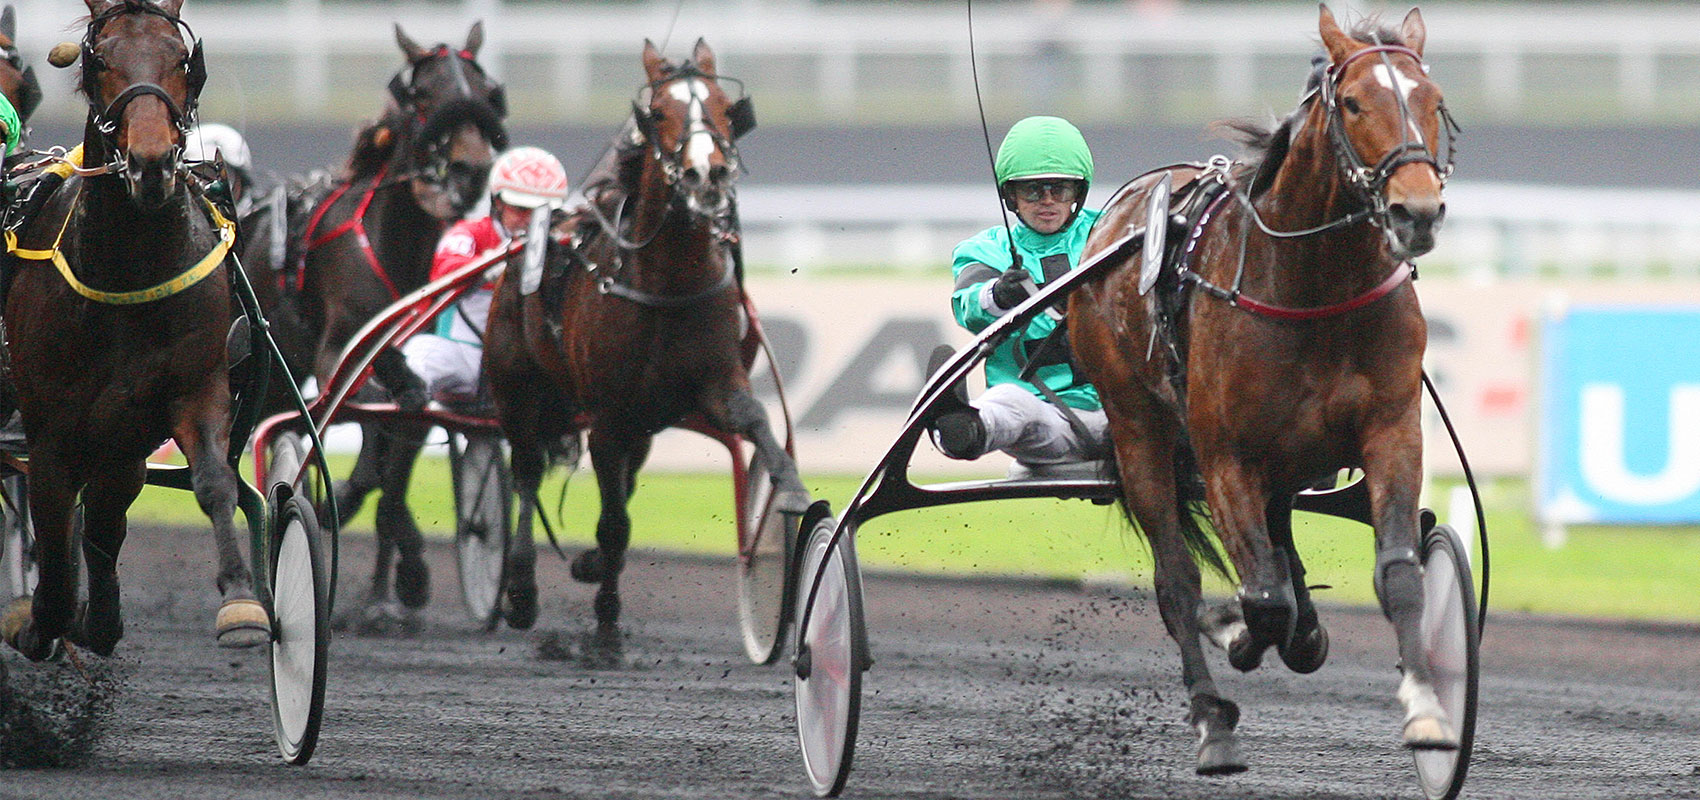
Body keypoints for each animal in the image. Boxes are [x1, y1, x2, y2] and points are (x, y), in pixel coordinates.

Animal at [0, 0, 261, 662]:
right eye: (102, 61)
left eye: (180, 58)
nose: (150, 163)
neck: (127, 266)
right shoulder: (51, 429)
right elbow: (53, 526)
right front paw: (37, 621)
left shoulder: (187, 393)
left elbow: (214, 482)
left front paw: (241, 602)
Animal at [243, 21, 503, 628]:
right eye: (425, 94)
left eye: (483, 91)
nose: (471, 169)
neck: (395, 241)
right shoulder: (337, 353)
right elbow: (370, 445)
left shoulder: (414, 379)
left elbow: (393, 457)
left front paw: (399, 580)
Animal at [486, 39, 809, 652]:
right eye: (659, 112)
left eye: (724, 108)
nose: (706, 173)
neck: (667, 285)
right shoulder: (608, 416)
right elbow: (614, 523)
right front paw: (602, 610)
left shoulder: (713, 384)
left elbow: (755, 420)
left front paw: (791, 489)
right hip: (518, 387)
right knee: (526, 470)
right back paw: (519, 589)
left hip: (642, 426)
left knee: (621, 480)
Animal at [1074, 4, 1448, 777]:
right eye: (1354, 102)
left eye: (1432, 99)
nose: (1417, 211)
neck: (1312, 283)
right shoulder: (1226, 457)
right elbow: (1260, 598)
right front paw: (1238, 634)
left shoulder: (1392, 427)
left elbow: (1397, 572)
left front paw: (1427, 710)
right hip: (1139, 427)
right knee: (1179, 581)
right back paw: (1211, 714)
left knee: (1277, 544)